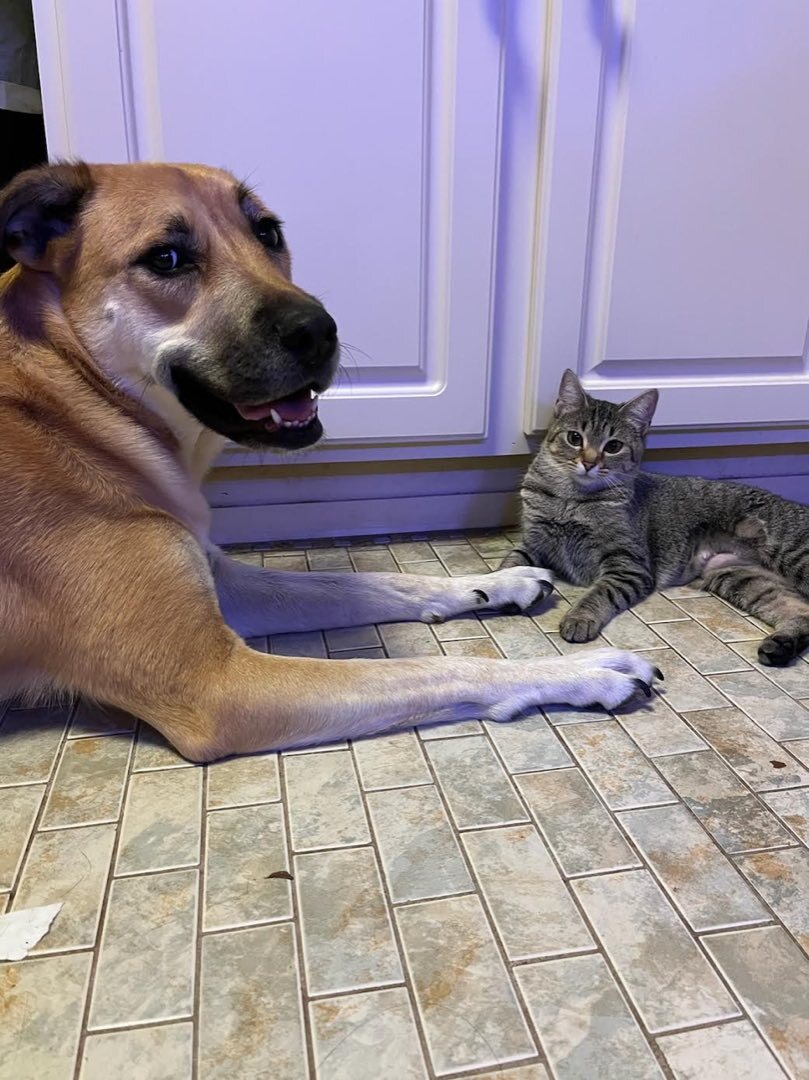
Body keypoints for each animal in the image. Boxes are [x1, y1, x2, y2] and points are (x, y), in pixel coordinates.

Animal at [0, 162, 659, 761]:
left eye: (267, 231)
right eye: (165, 258)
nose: (320, 331)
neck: (75, 402)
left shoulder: (222, 581)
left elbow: (365, 582)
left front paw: (495, 583)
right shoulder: (214, 682)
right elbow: (439, 669)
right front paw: (588, 671)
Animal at [500, 369, 809, 666]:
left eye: (613, 446)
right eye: (575, 438)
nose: (589, 462)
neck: (571, 500)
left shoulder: (629, 565)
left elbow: (600, 593)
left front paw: (580, 617)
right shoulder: (532, 543)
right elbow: (507, 567)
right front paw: (501, 587)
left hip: (792, 555)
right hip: (742, 577)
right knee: (801, 612)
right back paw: (781, 646)